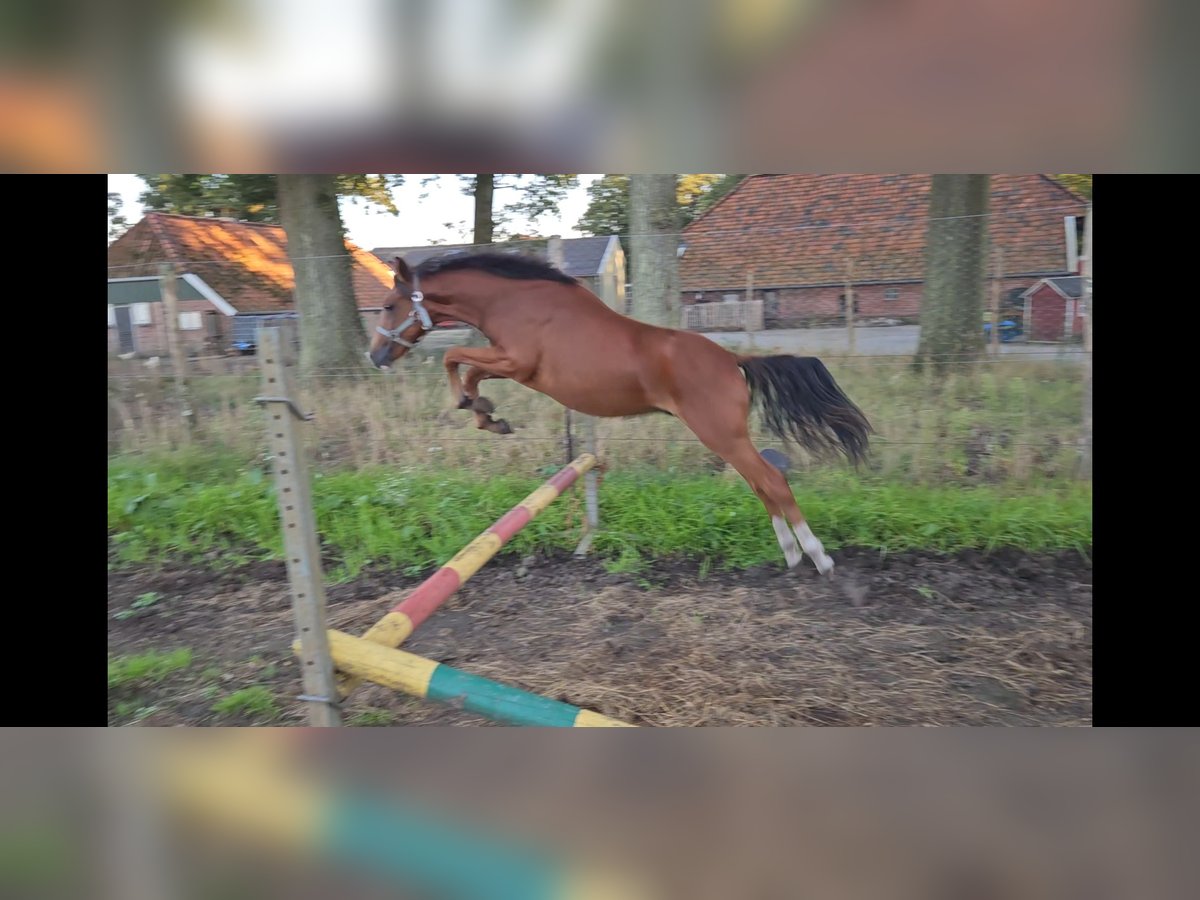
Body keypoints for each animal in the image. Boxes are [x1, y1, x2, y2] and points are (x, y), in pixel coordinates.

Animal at [367, 252, 873, 578]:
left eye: (389, 306)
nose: (375, 356)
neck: (515, 302)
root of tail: (733, 360)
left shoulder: (517, 363)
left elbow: (456, 358)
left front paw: (481, 410)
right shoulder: (508, 363)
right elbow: (465, 366)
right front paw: (487, 414)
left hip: (722, 435)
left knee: (772, 481)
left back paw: (817, 557)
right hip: (728, 440)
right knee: (761, 484)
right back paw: (790, 555)